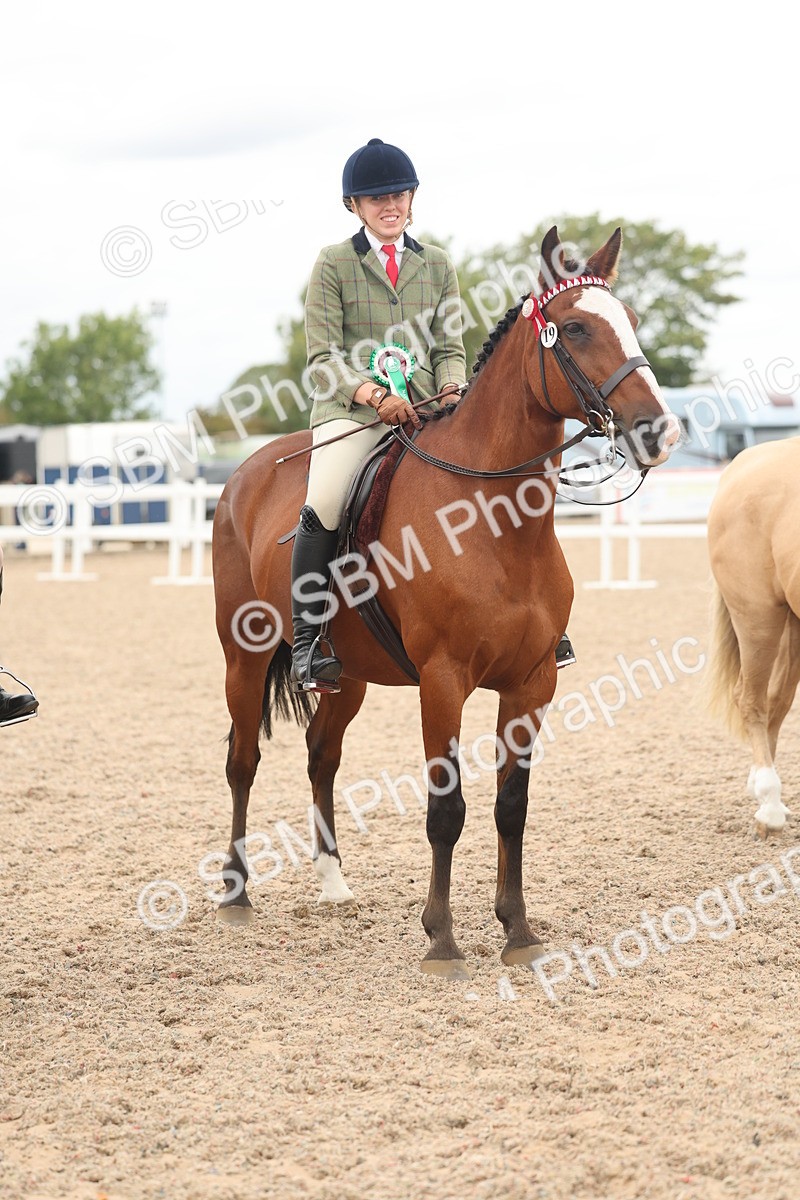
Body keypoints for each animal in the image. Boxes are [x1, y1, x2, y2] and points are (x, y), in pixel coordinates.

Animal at [211, 225, 681, 977]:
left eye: (630, 320)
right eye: (577, 328)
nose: (656, 432)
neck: (496, 523)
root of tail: (244, 474)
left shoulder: (532, 682)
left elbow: (511, 805)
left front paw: (518, 930)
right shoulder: (443, 681)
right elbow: (446, 809)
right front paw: (441, 938)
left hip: (348, 677)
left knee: (321, 755)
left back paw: (333, 883)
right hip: (243, 656)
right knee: (243, 761)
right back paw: (235, 893)